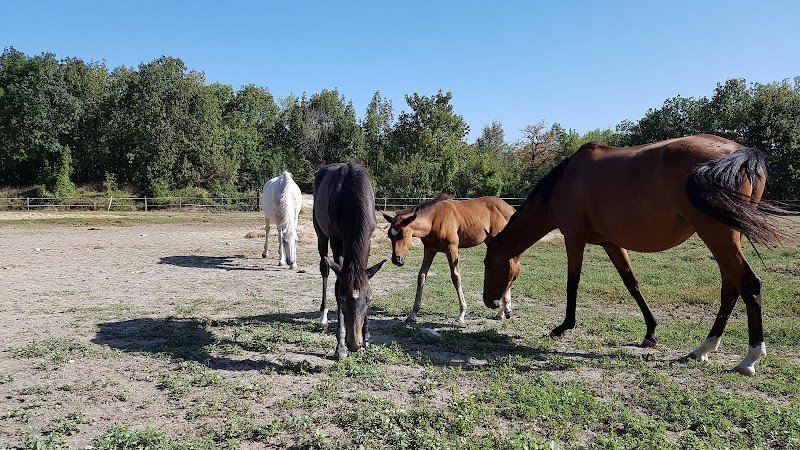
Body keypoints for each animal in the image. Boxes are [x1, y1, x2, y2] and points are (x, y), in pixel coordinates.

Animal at [313, 162, 387, 359]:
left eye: (369, 300)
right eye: (342, 299)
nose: (354, 344)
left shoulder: (368, 240)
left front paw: (367, 337)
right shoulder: (337, 242)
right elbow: (338, 282)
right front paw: (340, 347)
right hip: (321, 235)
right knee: (324, 269)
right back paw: (323, 317)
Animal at [383, 195, 520, 324]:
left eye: (403, 235)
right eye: (389, 235)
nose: (396, 260)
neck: (433, 220)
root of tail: (510, 208)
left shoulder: (452, 248)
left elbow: (456, 277)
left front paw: (461, 314)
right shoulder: (429, 249)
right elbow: (421, 276)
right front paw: (412, 314)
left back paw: (504, 311)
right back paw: (503, 312)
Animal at [482, 134, 797, 376]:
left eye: (487, 262)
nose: (489, 301)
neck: (566, 180)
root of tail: (740, 153)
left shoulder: (574, 238)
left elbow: (573, 283)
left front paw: (563, 327)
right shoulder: (611, 243)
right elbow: (631, 283)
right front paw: (650, 333)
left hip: (718, 236)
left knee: (749, 285)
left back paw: (749, 359)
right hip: (727, 238)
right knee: (730, 289)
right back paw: (703, 349)